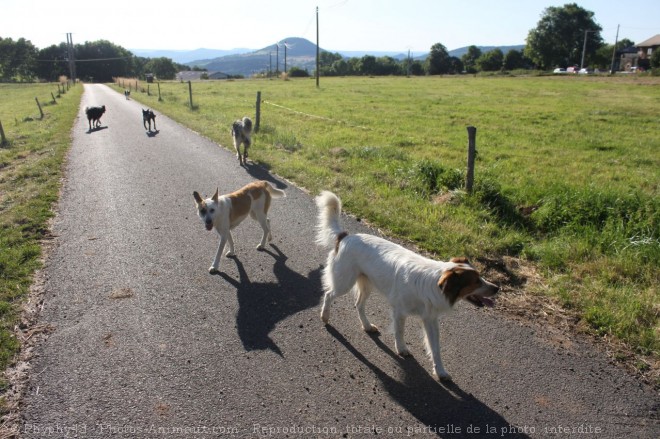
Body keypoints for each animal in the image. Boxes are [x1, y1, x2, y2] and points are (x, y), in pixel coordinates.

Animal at [318, 192, 498, 382]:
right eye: (476, 281)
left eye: (481, 277)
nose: (497, 288)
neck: (432, 283)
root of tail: (346, 236)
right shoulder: (399, 311)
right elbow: (400, 332)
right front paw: (402, 349)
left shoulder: (430, 320)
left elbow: (435, 348)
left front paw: (440, 371)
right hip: (344, 282)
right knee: (329, 293)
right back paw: (325, 316)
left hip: (367, 284)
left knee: (358, 304)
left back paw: (366, 326)